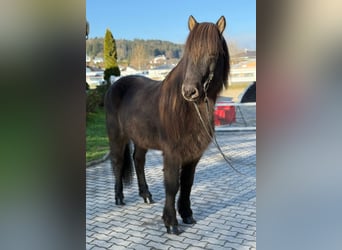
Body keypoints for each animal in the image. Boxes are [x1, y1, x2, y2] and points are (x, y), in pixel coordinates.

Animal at [104, 15, 230, 234]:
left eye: (213, 54)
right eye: (188, 53)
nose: (189, 91)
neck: (187, 109)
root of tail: (115, 85)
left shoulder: (193, 154)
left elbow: (187, 183)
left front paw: (187, 214)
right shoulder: (172, 153)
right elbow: (172, 185)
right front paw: (171, 222)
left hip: (141, 139)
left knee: (138, 161)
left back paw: (146, 195)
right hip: (117, 137)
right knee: (118, 162)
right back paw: (119, 197)